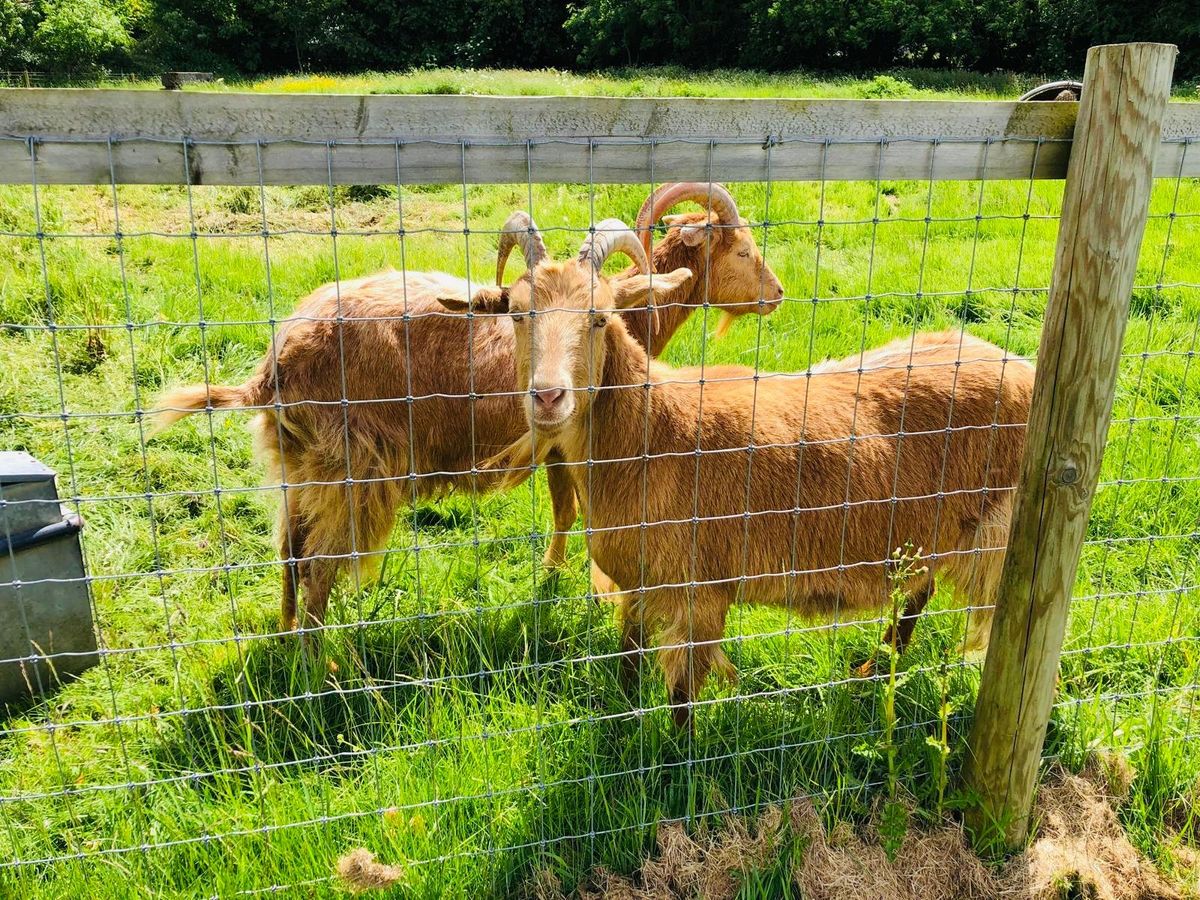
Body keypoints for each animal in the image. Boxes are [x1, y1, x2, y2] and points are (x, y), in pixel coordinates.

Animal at [444, 220, 1034, 730]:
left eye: (601, 317)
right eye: (517, 314)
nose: (548, 397)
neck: (652, 431)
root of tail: (1019, 365)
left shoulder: (701, 589)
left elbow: (682, 695)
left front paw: (676, 767)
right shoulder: (637, 580)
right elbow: (629, 658)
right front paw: (626, 715)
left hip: (986, 523)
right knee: (917, 593)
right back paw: (871, 670)